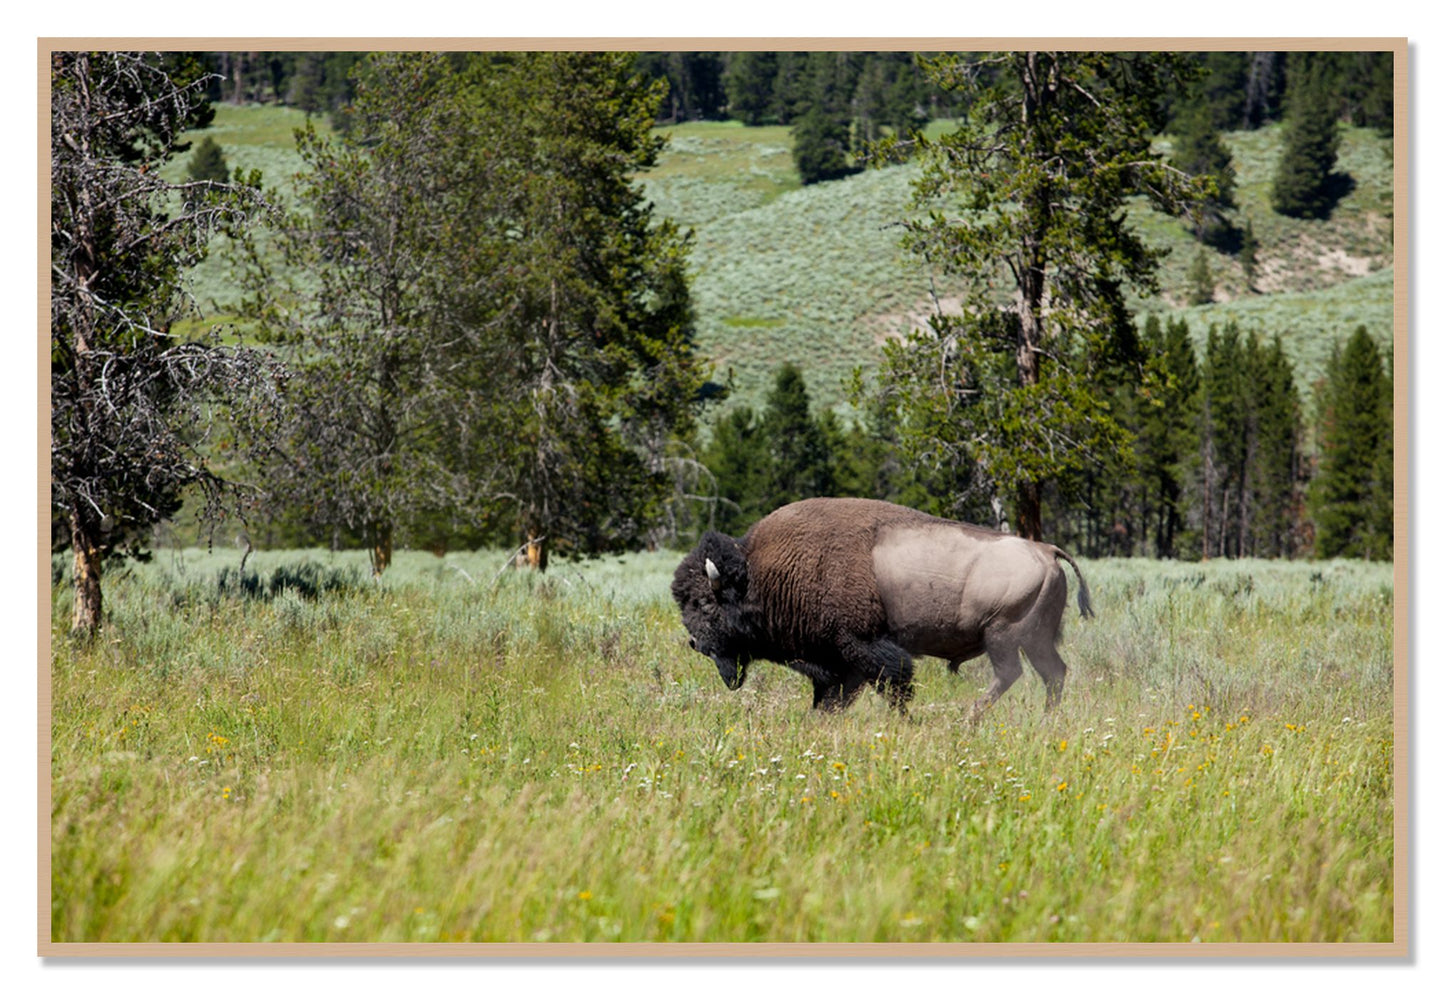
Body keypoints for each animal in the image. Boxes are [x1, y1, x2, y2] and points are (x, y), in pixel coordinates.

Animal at [671, 497, 1093, 719]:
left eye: (705, 604)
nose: (696, 643)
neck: (761, 573)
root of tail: (1046, 550)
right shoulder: (837, 663)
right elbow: (832, 698)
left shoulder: (863, 647)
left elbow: (893, 684)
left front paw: (904, 720)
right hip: (1035, 639)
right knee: (1053, 673)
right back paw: (1045, 719)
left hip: (1002, 635)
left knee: (1011, 674)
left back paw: (969, 718)